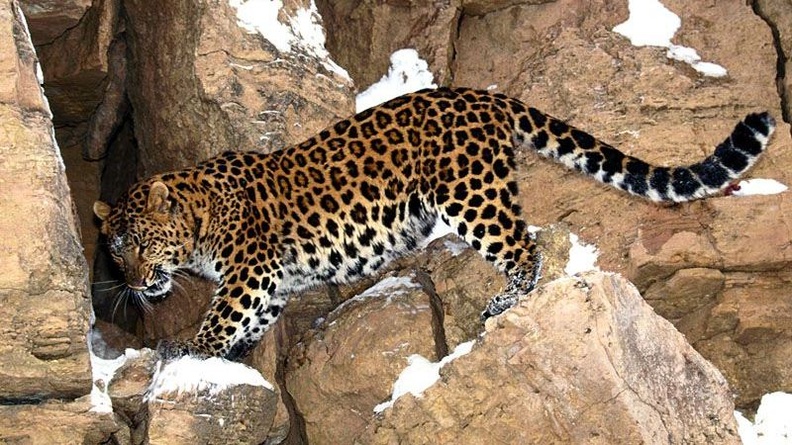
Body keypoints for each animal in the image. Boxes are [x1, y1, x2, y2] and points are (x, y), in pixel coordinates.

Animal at [93, 87, 775, 361]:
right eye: (116, 252)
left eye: (141, 242)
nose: (134, 283)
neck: (199, 216)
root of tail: (483, 95)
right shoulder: (274, 282)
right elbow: (249, 322)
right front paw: (226, 357)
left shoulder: (251, 269)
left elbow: (221, 315)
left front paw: (188, 349)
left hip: (469, 194)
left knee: (525, 246)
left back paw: (506, 302)